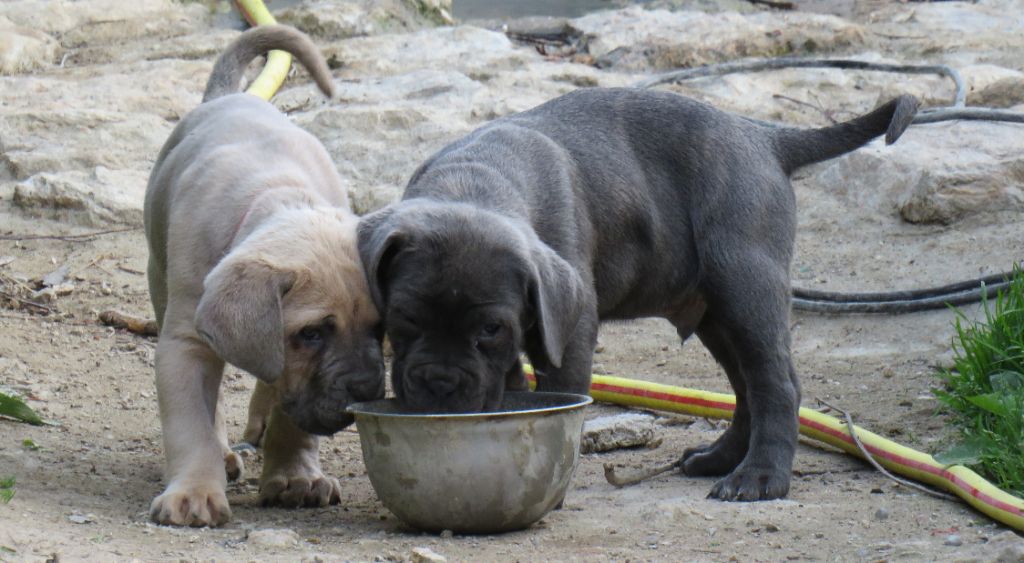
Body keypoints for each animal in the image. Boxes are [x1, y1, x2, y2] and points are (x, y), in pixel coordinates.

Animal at [360, 88, 921, 503]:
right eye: (404, 319)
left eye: (490, 330)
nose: (439, 383)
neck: (473, 185)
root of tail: (765, 138)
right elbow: (512, 382)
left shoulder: (568, 331)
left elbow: (558, 396)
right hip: (718, 314)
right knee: (747, 388)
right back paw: (721, 459)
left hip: (747, 285)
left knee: (776, 385)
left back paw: (760, 477)